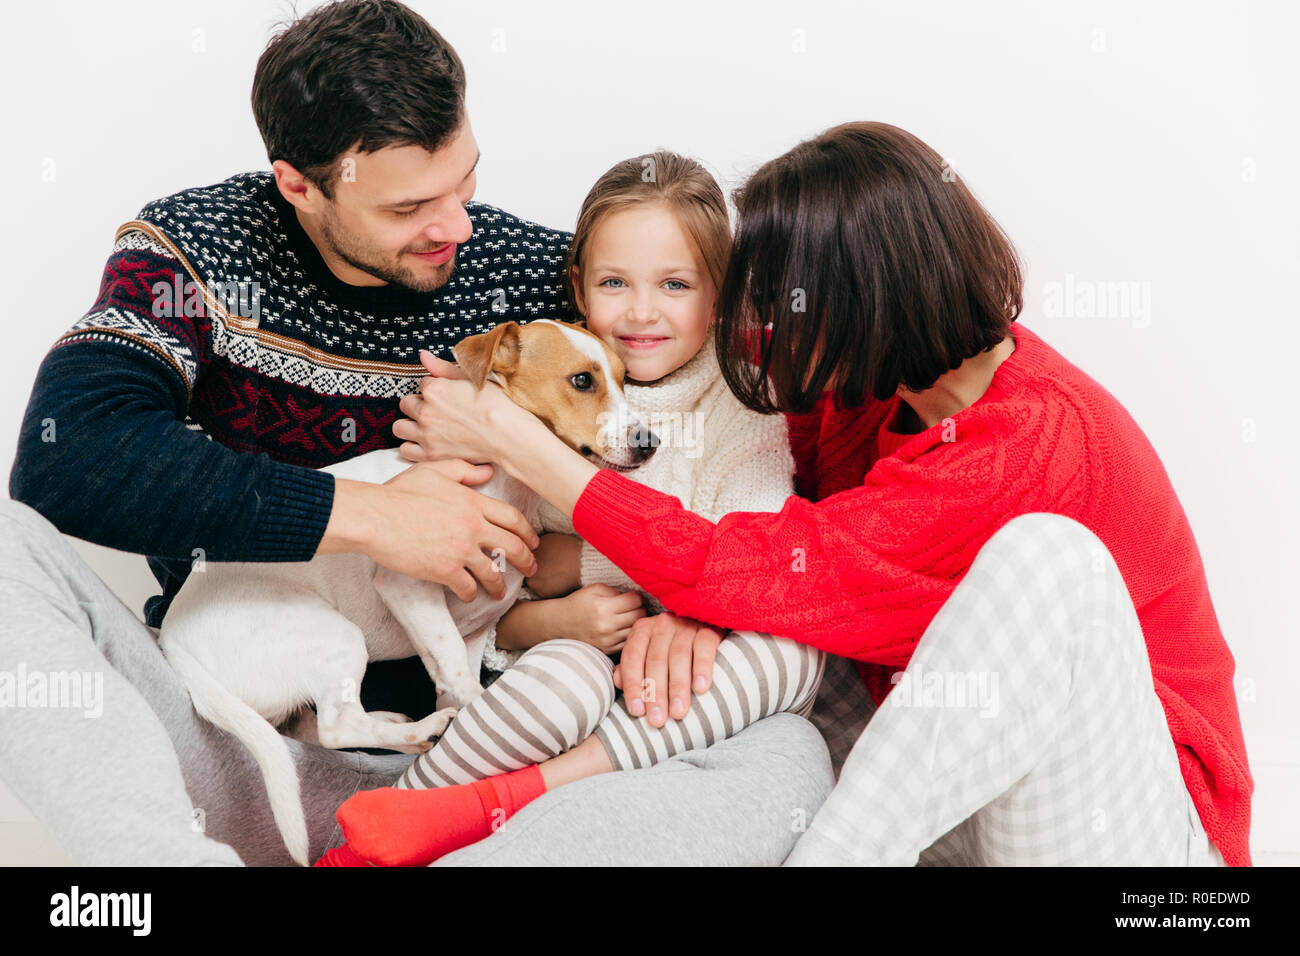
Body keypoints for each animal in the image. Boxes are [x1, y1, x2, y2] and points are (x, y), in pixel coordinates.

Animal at [157, 321, 655, 868]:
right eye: (582, 380)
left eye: (626, 378)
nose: (651, 443)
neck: (507, 481)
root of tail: (173, 643)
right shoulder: (410, 587)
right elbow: (462, 675)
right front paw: (479, 710)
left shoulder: (475, 627)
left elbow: (452, 670)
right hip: (335, 636)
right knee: (335, 727)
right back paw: (421, 730)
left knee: (314, 728)